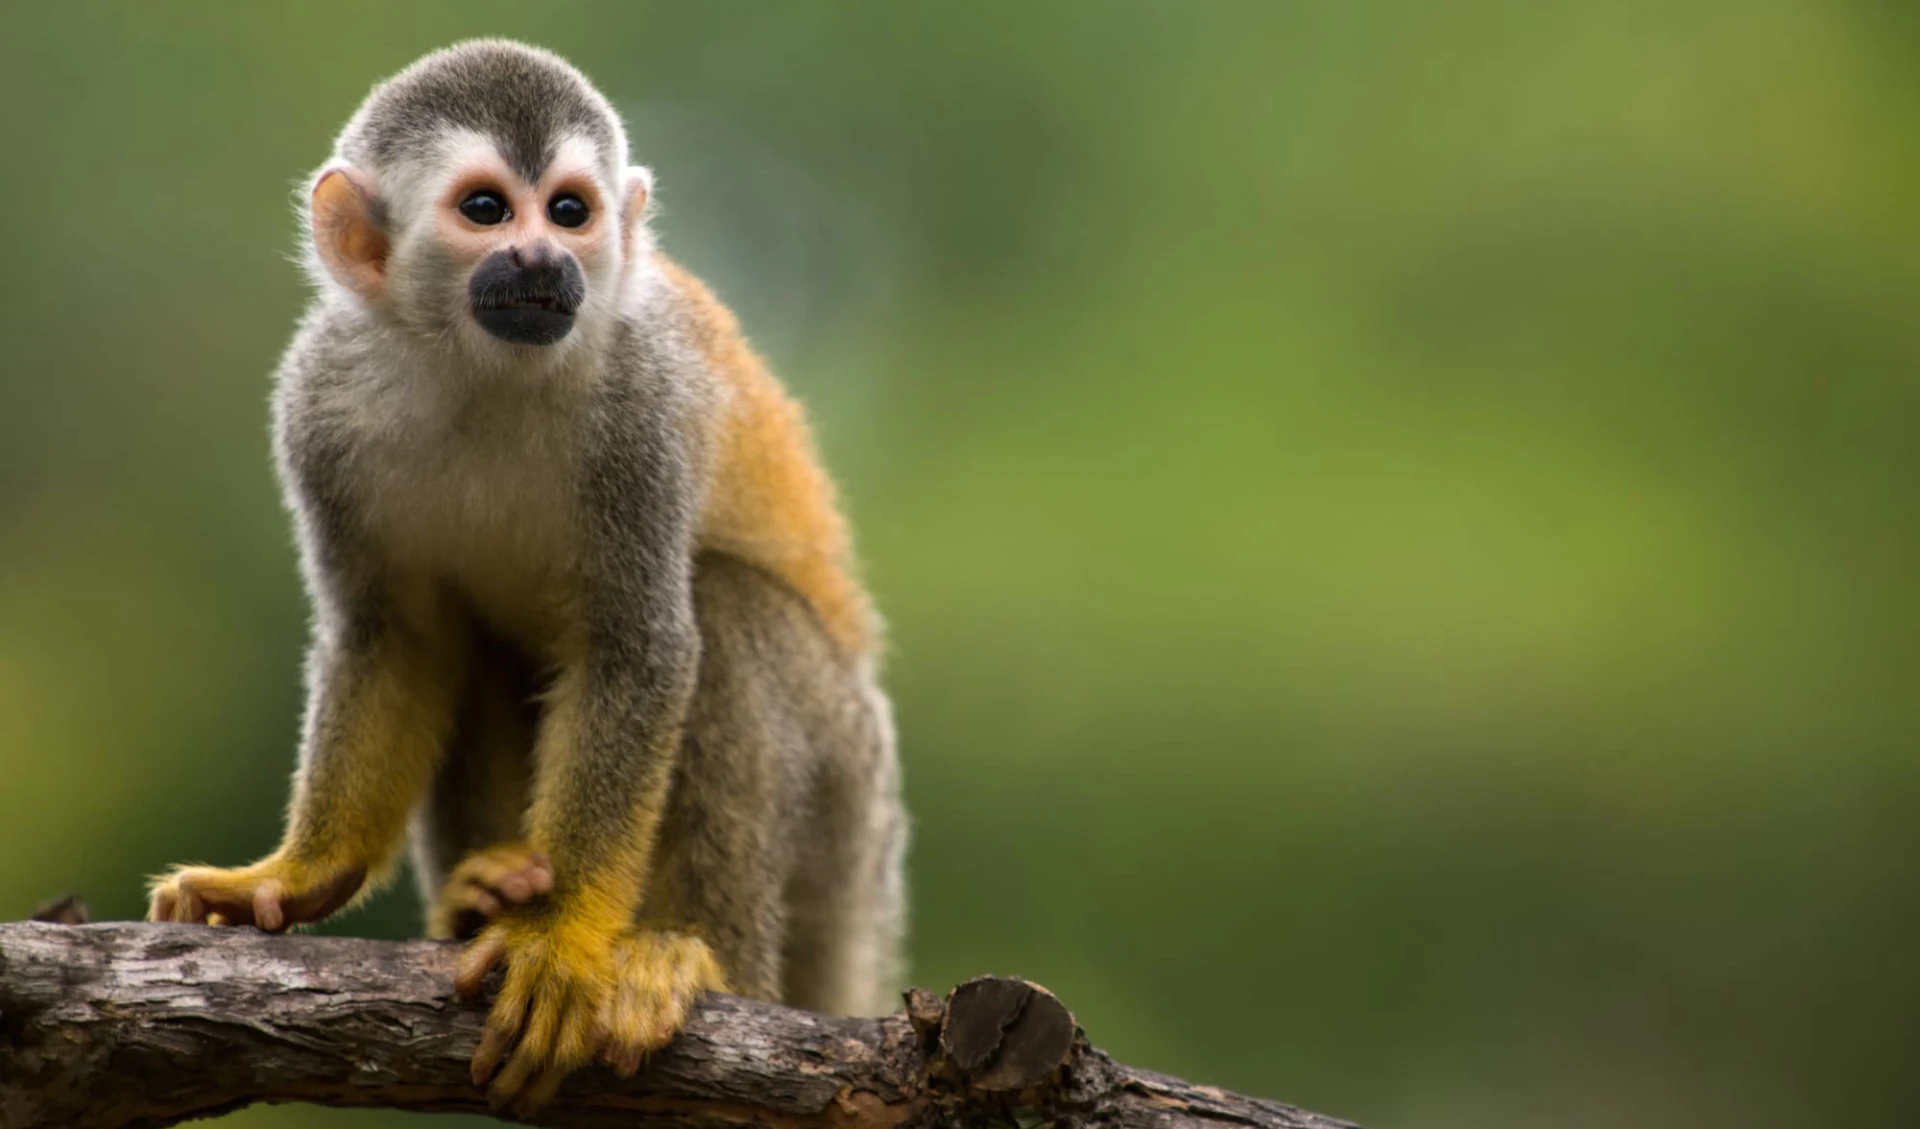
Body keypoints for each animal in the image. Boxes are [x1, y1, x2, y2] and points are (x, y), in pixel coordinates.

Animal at [145, 39, 906, 1113]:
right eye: (487, 210)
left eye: (570, 210)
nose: (547, 260)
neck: (481, 366)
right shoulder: (316, 403)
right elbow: (394, 636)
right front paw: (297, 875)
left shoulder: (641, 403)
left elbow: (639, 646)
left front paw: (560, 936)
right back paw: (483, 890)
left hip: (850, 807)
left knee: (723, 607)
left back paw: (695, 958)